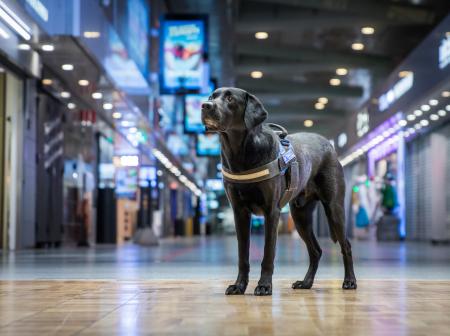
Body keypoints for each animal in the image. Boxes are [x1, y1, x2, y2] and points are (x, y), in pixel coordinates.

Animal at [202, 88, 356, 296]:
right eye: (212, 97)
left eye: (230, 98)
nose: (205, 105)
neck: (240, 152)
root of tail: (328, 144)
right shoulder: (239, 213)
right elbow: (243, 255)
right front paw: (239, 286)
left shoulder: (271, 212)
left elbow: (268, 253)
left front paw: (264, 285)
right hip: (300, 216)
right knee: (316, 251)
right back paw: (306, 283)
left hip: (334, 209)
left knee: (345, 245)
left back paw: (350, 281)